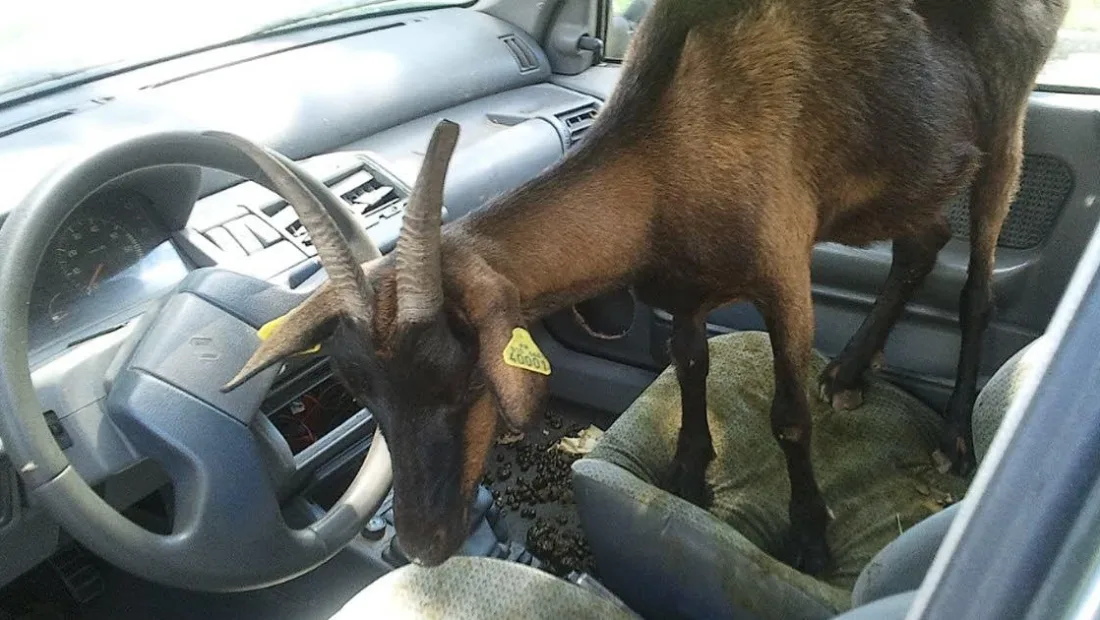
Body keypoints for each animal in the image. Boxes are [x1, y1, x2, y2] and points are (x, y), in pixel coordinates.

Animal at [217, 0, 1068, 573]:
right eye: (359, 392)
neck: (668, 152)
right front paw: (690, 475)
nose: (425, 544)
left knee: (976, 283)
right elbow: (688, 366)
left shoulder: (784, 266)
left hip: (1006, 125)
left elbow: (789, 417)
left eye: (466, 384)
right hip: (909, 172)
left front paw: (810, 536)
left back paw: (954, 437)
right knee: (922, 246)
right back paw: (853, 372)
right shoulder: (677, 288)